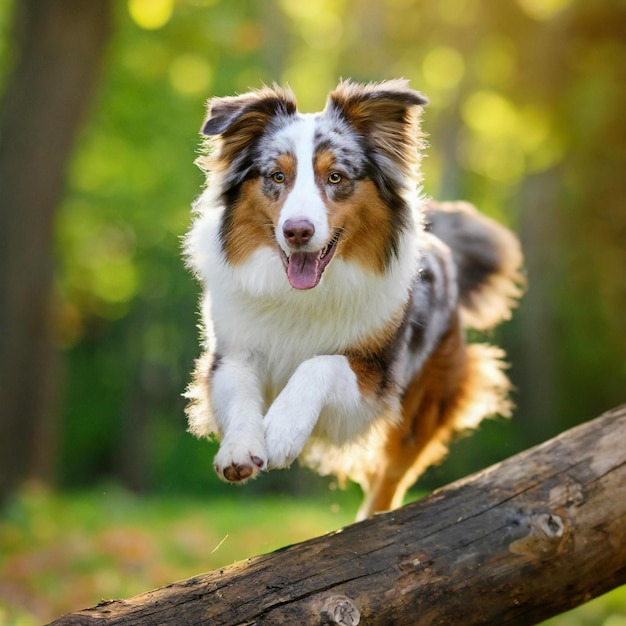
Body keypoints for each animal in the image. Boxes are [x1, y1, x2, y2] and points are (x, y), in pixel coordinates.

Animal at [184, 79, 520, 516]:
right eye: (277, 176)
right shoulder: (232, 353)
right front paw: (240, 448)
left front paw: (282, 431)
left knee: (390, 475)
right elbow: (239, 393)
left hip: (421, 408)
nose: (297, 231)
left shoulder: (376, 382)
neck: (303, 296)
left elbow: (320, 364)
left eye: (336, 177)